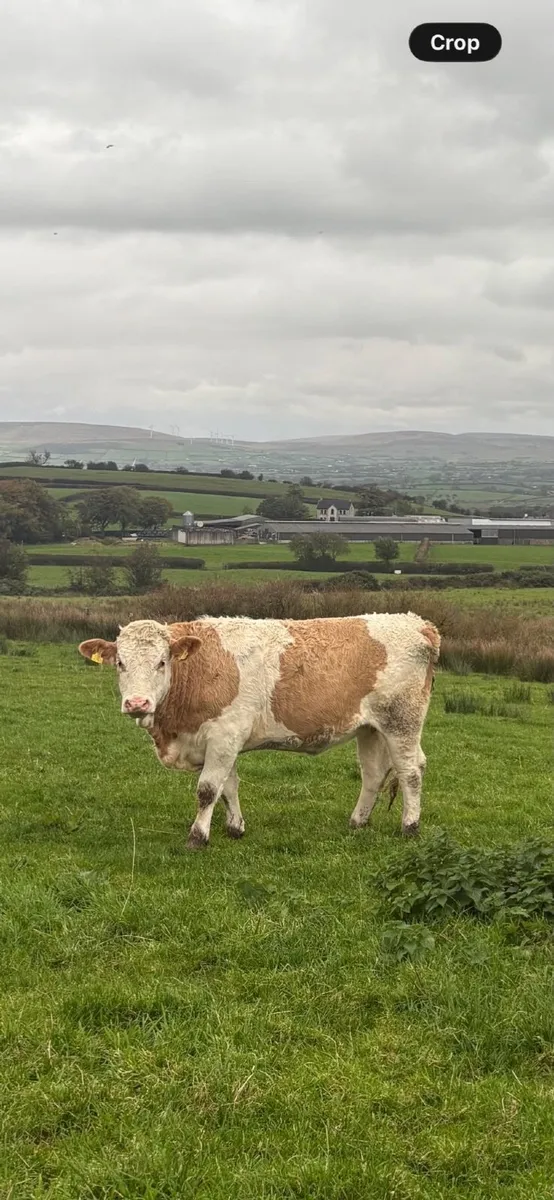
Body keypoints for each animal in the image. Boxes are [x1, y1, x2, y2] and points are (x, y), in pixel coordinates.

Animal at [78, 612, 440, 849]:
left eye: (161, 663)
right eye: (120, 663)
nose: (137, 703)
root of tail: (418, 623)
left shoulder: (224, 736)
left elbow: (208, 789)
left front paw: (198, 837)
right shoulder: (220, 742)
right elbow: (228, 787)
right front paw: (235, 828)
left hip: (402, 722)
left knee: (411, 771)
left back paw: (410, 826)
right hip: (371, 728)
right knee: (374, 774)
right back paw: (357, 822)